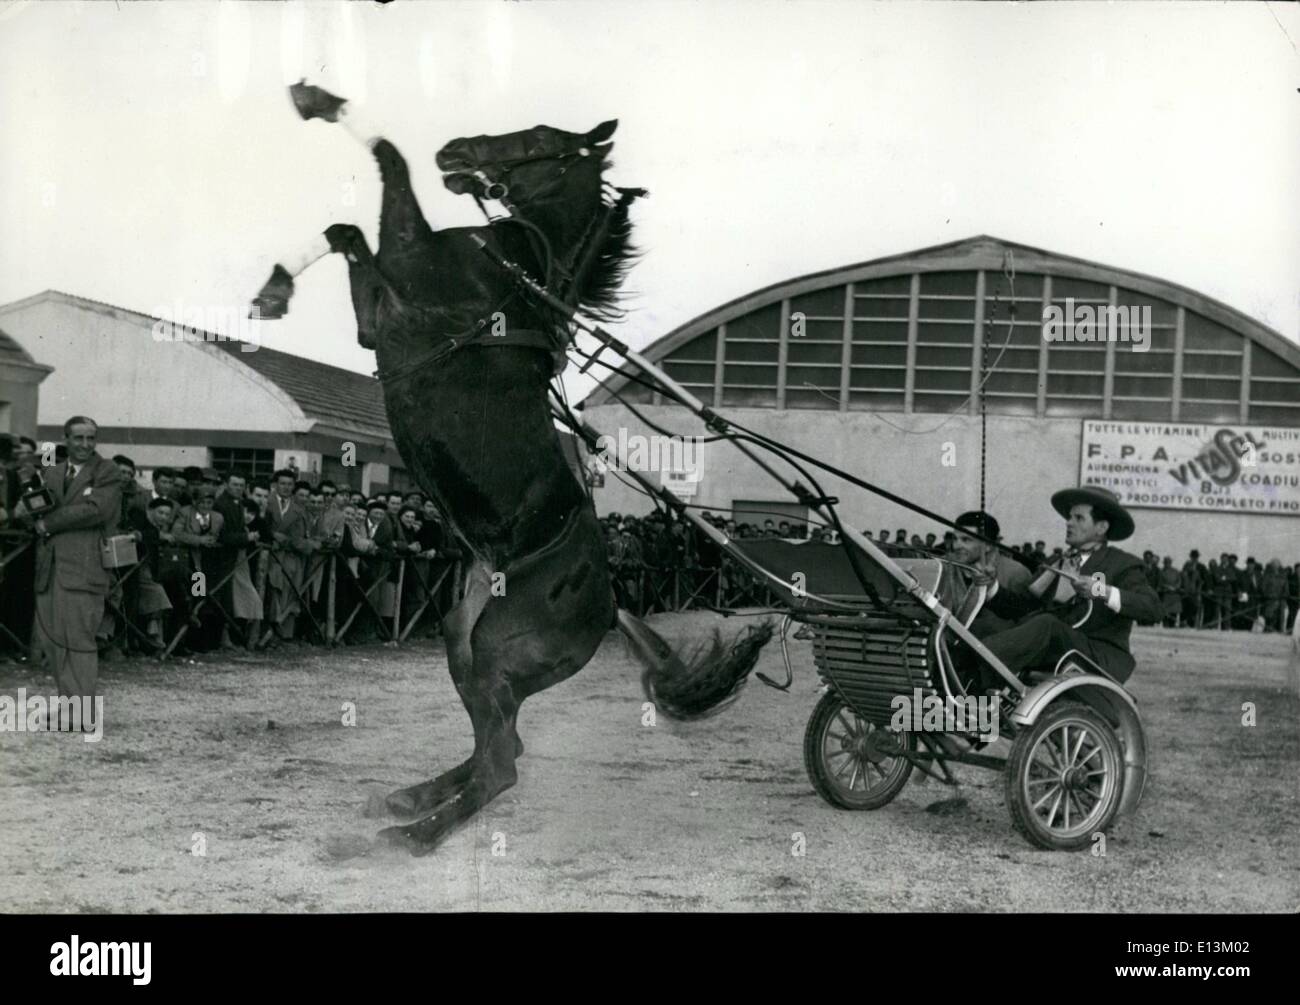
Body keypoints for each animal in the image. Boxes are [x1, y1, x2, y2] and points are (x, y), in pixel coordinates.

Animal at [248, 84, 764, 852]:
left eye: (544, 139)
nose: (457, 151)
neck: (519, 275)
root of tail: (609, 608)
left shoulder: (408, 276)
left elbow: (386, 163)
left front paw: (319, 100)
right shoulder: (382, 315)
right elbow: (347, 229)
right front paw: (273, 290)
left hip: (494, 648)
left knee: (503, 766)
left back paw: (410, 835)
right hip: (465, 640)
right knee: (502, 746)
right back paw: (409, 798)